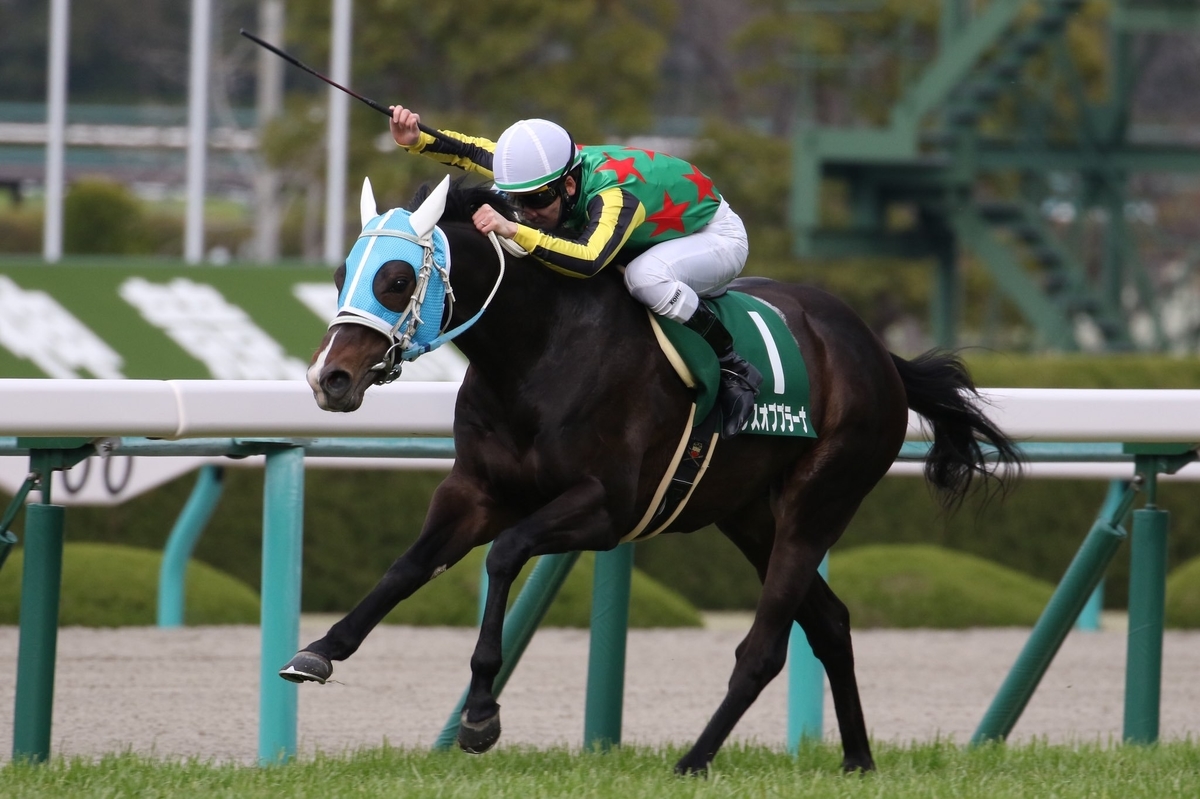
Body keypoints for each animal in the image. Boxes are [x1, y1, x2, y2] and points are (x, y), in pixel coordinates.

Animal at [283, 175, 1020, 774]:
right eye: (342, 271)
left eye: (397, 278)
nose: (329, 378)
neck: (540, 350)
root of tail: (877, 350)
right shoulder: (475, 490)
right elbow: (408, 565)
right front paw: (320, 649)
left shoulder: (605, 507)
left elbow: (505, 554)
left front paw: (481, 714)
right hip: (748, 516)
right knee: (832, 622)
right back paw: (858, 759)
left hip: (820, 499)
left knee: (765, 648)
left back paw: (695, 759)